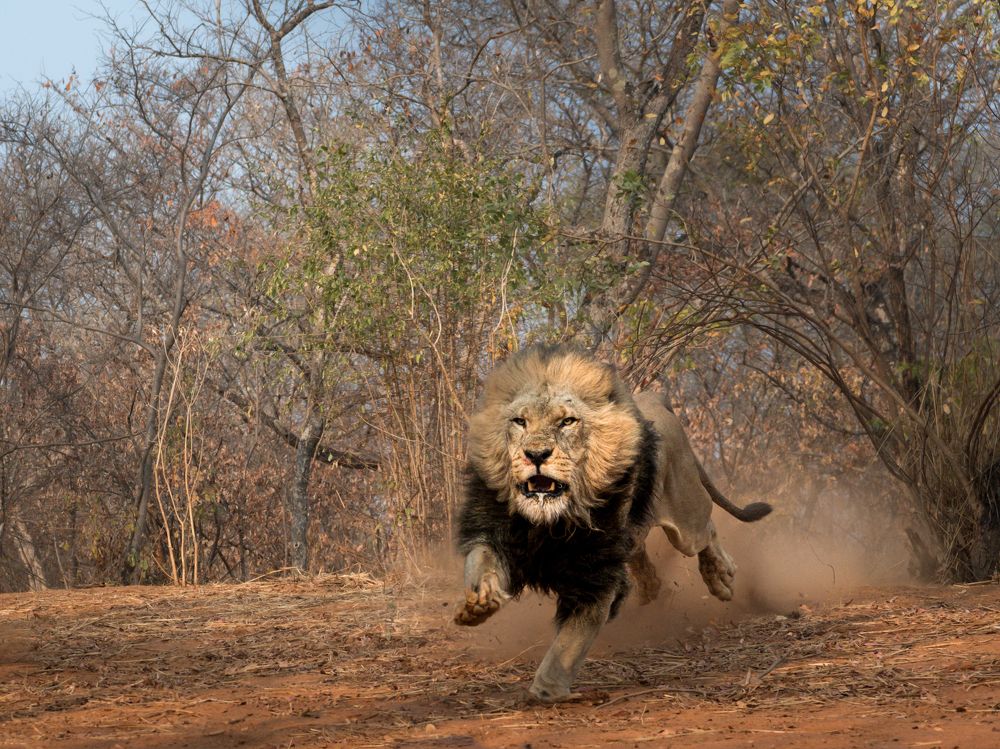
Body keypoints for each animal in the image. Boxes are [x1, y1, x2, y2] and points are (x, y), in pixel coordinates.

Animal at [455, 344, 772, 702]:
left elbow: (569, 643)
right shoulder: (500, 537)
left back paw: (721, 577)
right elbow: (481, 563)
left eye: (567, 422)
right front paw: (478, 604)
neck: (549, 523)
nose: (535, 454)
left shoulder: (597, 577)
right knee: (646, 564)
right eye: (519, 422)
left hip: (684, 511)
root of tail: (655, 397)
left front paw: (547, 690)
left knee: (706, 530)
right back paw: (649, 593)